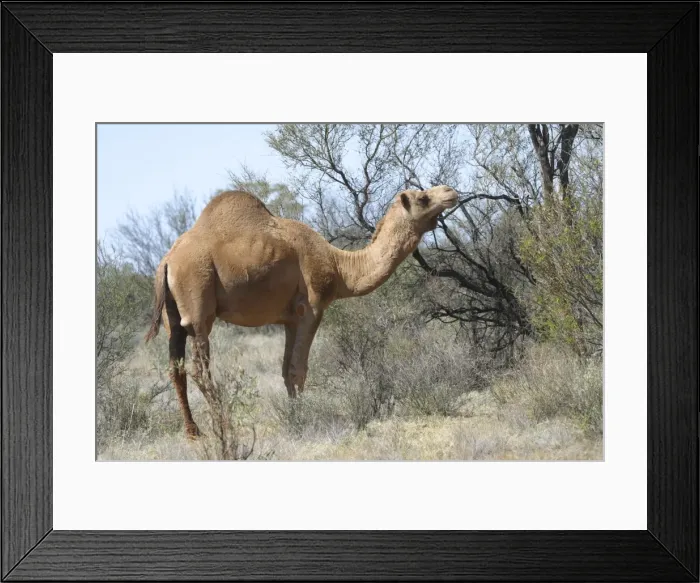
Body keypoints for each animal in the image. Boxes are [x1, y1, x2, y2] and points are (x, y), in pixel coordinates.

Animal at [145, 185, 459, 437]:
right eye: (423, 197)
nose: (450, 191)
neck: (339, 266)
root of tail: (167, 262)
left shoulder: (288, 318)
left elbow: (286, 370)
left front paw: (294, 412)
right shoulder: (311, 307)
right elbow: (299, 369)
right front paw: (303, 417)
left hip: (173, 318)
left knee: (176, 369)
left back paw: (193, 432)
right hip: (198, 302)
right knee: (200, 368)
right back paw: (225, 425)